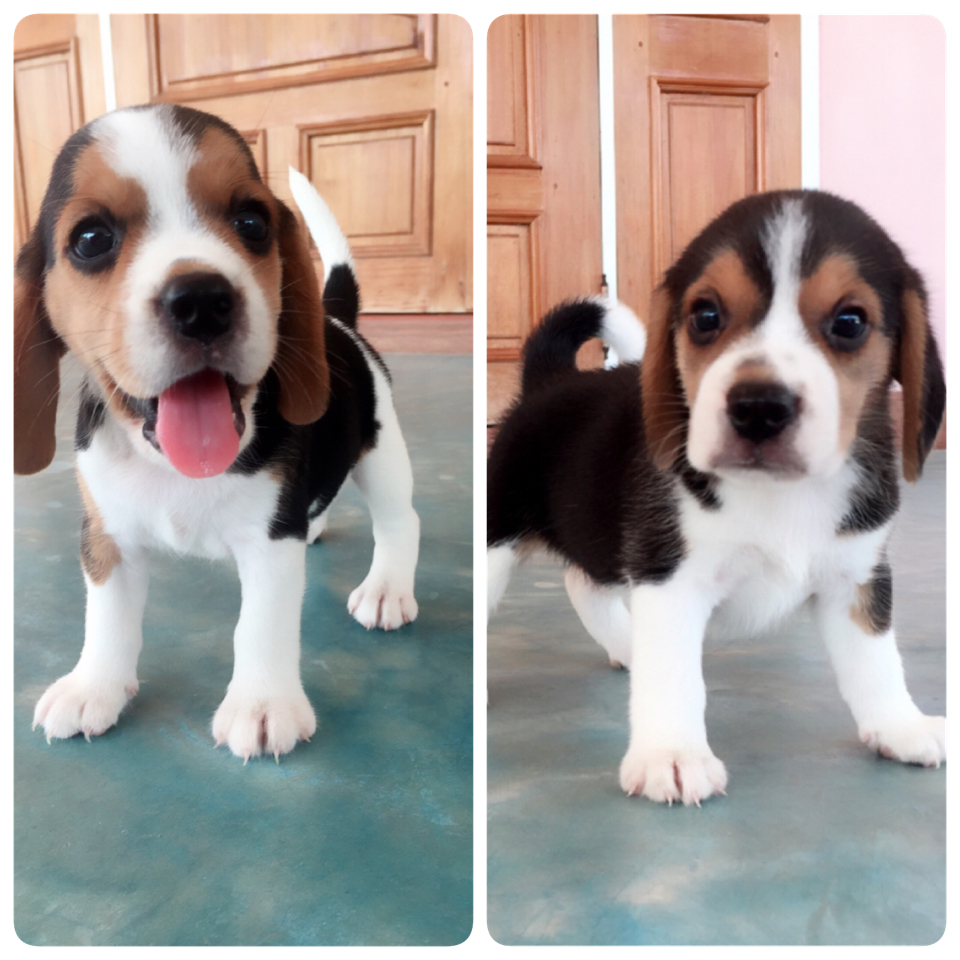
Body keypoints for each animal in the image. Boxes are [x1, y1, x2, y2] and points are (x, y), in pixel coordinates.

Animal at [14, 104, 420, 761]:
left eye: (251, 222)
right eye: (91, 240)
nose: (202, 300)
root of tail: (338, 319)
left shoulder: (270, 545)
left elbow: (259, 626)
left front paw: (261, 704)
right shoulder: (107, 537)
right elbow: (106, 618)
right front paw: (93, 685)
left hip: (382, 455)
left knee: (399, 523)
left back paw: (386, 588)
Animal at [487, 190, 945, 805]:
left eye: (850, 322)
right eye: (706, 316)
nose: (758, 407)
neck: (778, 494)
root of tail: (549, 382)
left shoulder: (857, 577)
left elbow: (877, 662)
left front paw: (901, 726)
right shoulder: (670, 580)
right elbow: (676, 676)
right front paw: (672, 755)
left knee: (582, 582)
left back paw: (628, 644)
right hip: (500, 532)